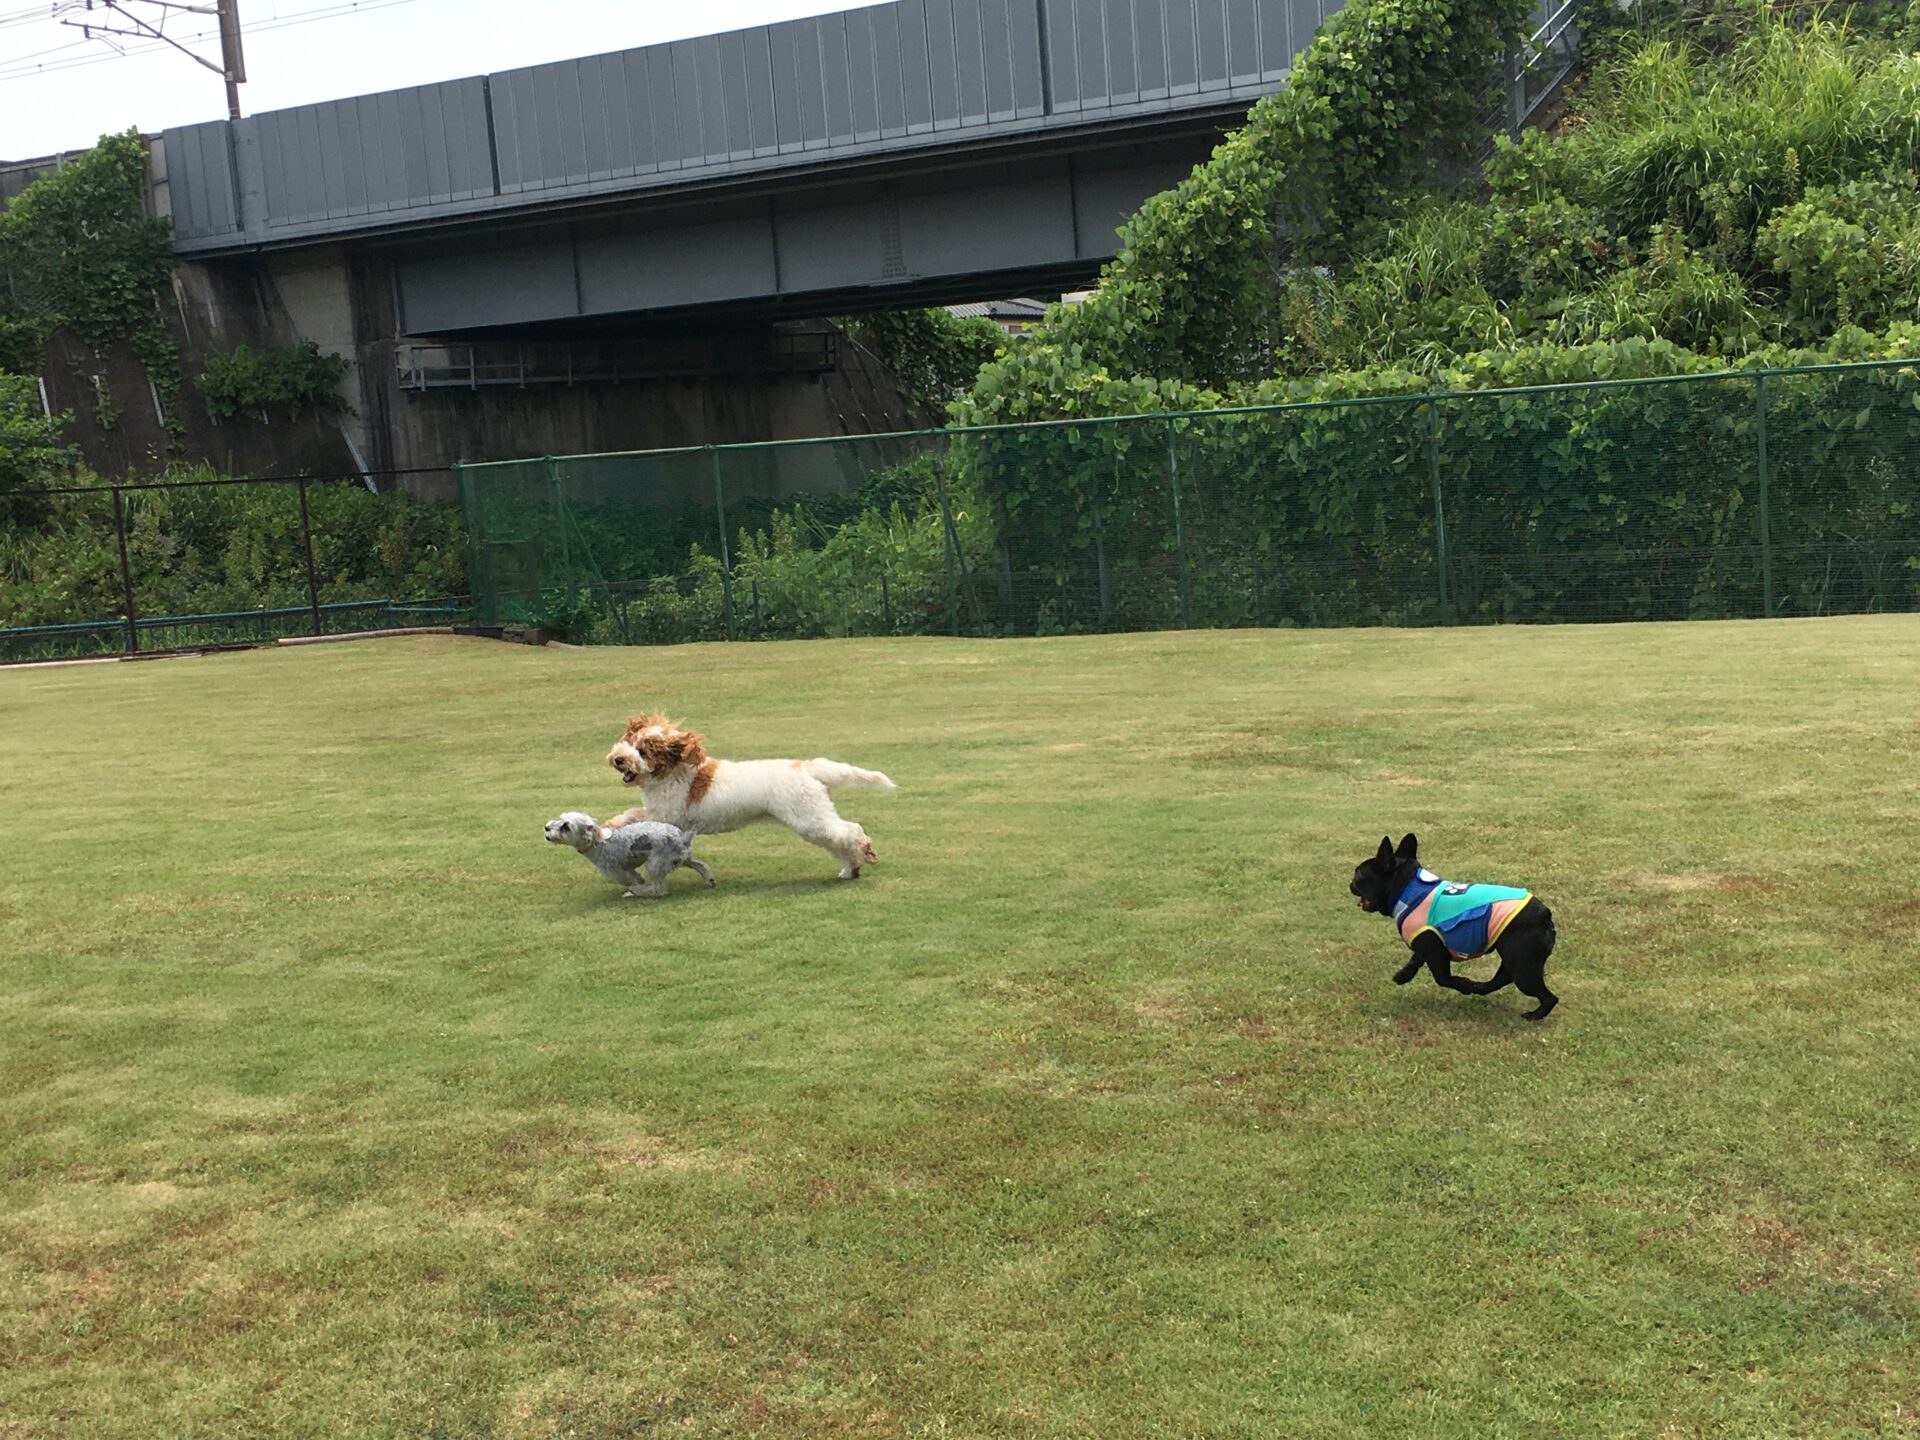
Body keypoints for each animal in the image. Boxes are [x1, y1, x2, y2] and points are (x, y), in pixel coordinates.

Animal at [544, 811, 715, 898]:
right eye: (560, 819)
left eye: (566, 827)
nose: (546, 827)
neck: (596, 842)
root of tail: (683, 838)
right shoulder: (627, 867)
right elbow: (634, 875)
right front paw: (638, 880)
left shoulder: (615, 870)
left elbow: (627, 879)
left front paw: (636, 885)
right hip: (683, 858)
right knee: (702, 865)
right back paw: (709, 880)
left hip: (655, 864)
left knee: (658, 890)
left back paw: (636, 891)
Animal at [606, 713, 896, 879]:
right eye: (629, 741)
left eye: (644, 751)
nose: (618, 759)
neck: (671, 773)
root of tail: (805, 767)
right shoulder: (660, 813)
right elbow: (633, 814)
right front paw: (612, 823)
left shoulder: (668, 815)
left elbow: (637, 818)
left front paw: (610, 827)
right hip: (815, 814)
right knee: (839, 839)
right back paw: (850, 869)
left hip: (808, 816)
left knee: (850, 831)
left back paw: (863, 853)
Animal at [1349, 833, 1559, 1020]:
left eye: (1358, 875)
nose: (1350, 883)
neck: (1408, 890)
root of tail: (1545, 915)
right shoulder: (1426, 944)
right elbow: (1415, 959)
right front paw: (1403, 976)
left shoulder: (1435, 952)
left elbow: (1442, 978)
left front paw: (1463, 984)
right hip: (1515, 958)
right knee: (1501, 979)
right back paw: (1479, 987)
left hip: (1523, 967)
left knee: (1548, 997)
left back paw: (1533, 1015)